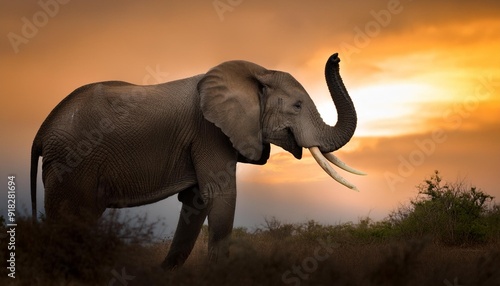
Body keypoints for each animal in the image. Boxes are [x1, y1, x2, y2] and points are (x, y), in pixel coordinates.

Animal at [31, 52, 364, 270]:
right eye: (296, 106)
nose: (336, 57)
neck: (258, 73)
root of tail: (42, 131)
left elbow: (197, 202)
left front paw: (165, 273)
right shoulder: (209, 132)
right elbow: (221, 195)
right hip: (71, 163)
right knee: (69, 217)